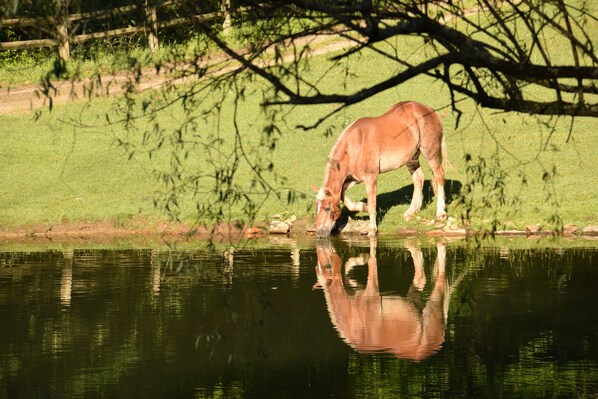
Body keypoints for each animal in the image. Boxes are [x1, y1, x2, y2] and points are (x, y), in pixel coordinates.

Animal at [314, 101, 450, 238]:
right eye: (317, 208)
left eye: (326, 208)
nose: (319, 232)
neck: (355, 146)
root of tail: (428, 109)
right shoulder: (353, 179)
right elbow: (344, 196)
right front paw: (363, 206)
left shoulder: (371, 178)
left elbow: (372, 204)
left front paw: (372, 229)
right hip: (412, 158)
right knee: (418, 179)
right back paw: (411, 211)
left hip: (430, 153)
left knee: (439, 175)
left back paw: (441, 213)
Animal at [316, 241, 448, 362]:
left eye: (327, 265)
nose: (322, 248)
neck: (352, 317)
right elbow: (348, 270)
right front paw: (361, 258)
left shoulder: (372, 291)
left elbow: (371, 261)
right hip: (413, 303)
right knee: (420, 276)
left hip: (432, 308)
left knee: (440, 278)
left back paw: (440, 244)